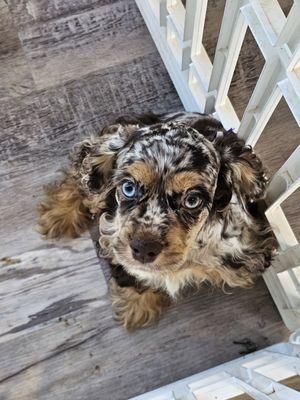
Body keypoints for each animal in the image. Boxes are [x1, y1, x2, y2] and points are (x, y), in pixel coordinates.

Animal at [37, 111, 276, 330]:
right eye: (128, 187)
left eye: (192, 200)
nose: (143, 249)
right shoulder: (115, 237)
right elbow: (131, 270)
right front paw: (136, 304)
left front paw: (137, 305)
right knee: (83, 176)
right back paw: (59, 214)